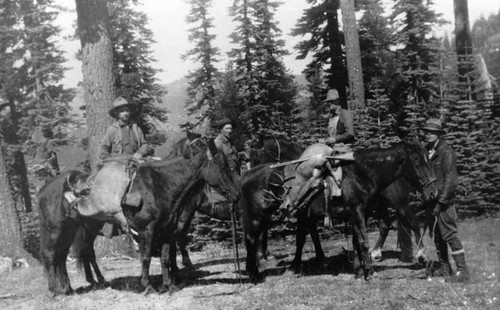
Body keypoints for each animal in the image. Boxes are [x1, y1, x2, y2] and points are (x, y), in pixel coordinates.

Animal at [240, 139, 436, 282]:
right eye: (417, 160)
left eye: (425, 159)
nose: (433, 191)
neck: (361, 173)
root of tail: (247, 178)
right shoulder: (353, 210)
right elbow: (359, 240)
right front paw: (366, 271)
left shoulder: (357, 210)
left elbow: (356, 241)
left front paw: (361, 270)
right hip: (257, 215)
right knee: (251, 238)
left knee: (409, 223)